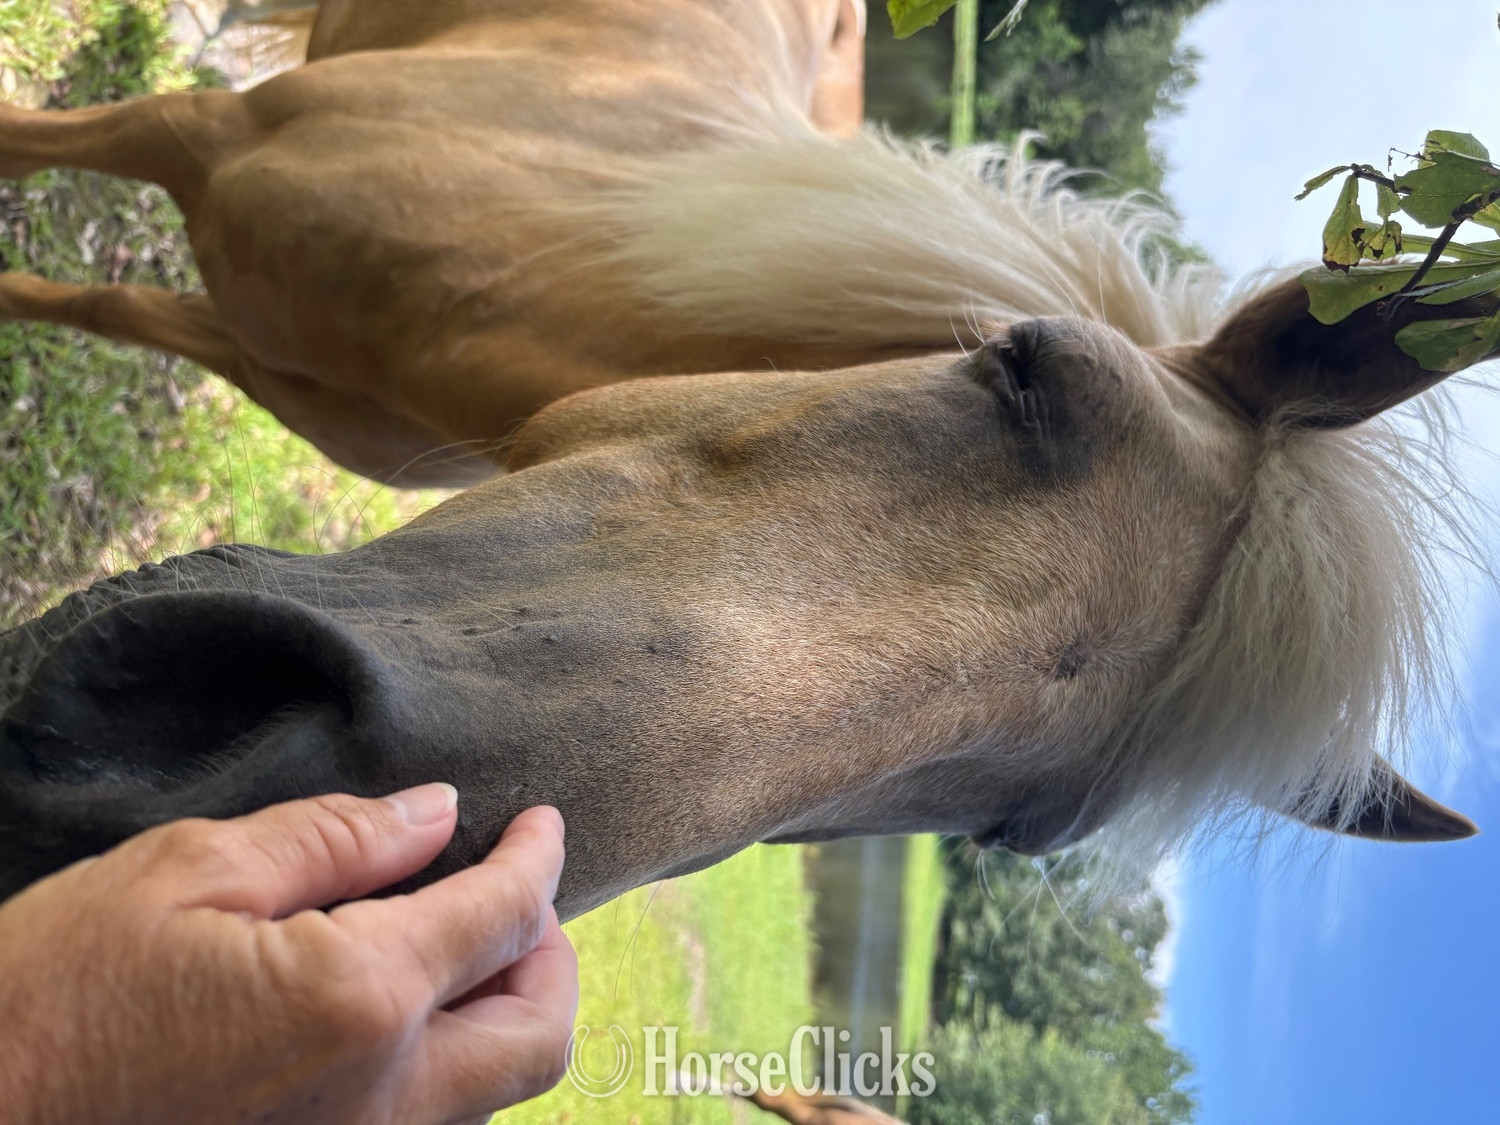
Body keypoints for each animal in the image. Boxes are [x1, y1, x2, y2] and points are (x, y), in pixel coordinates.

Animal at [0, 0, 1487, 916]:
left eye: (1023, 825)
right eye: (1030, 368)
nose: (238, 781)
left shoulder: (250, 351)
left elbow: (91, 301)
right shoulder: (187, 134)